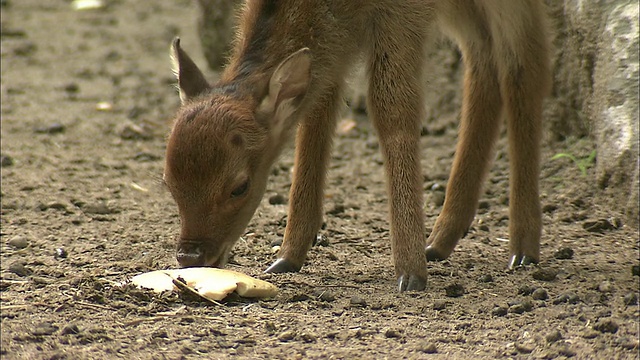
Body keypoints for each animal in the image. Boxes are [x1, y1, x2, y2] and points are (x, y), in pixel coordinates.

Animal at [164, 0, 552, 292]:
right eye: (168, 183)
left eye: (239, 186)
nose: (190, 257)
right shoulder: (335, 45)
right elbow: (317, 116)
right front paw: (287, 256)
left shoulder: (403, 14)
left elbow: (391, 108)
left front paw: (410, 274)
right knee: (484, 62)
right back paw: (440, 241)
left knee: (524, 66)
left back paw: (523, 250)